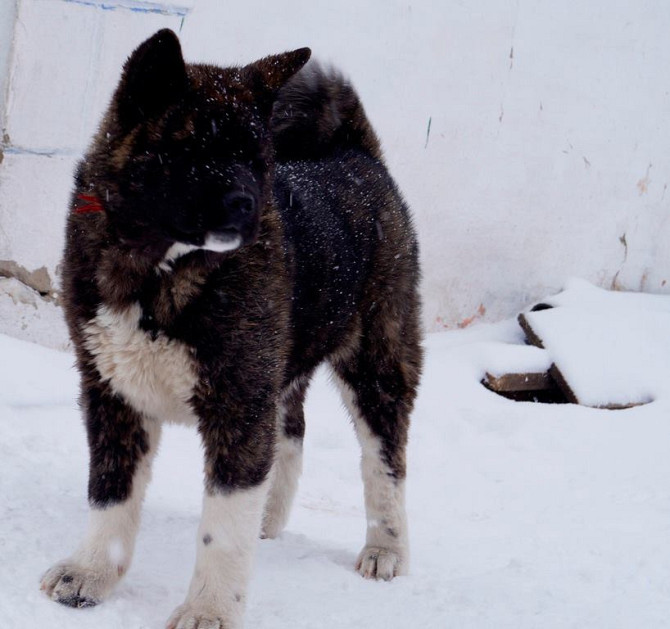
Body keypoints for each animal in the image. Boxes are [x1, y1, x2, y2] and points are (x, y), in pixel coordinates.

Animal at [40, 29, 420, 628]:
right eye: (194, 153)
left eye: (255, 159)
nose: (246, 205)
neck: (159, 269)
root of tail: (355, 153)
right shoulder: (111, 392)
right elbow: (109, 492)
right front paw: (91, 574)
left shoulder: (236, 403)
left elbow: (221, 528)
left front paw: (209, 610)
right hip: (283, 366)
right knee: (291, 430)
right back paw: (269, 516)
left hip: (377, 358)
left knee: (385, 459)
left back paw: (387, 549)